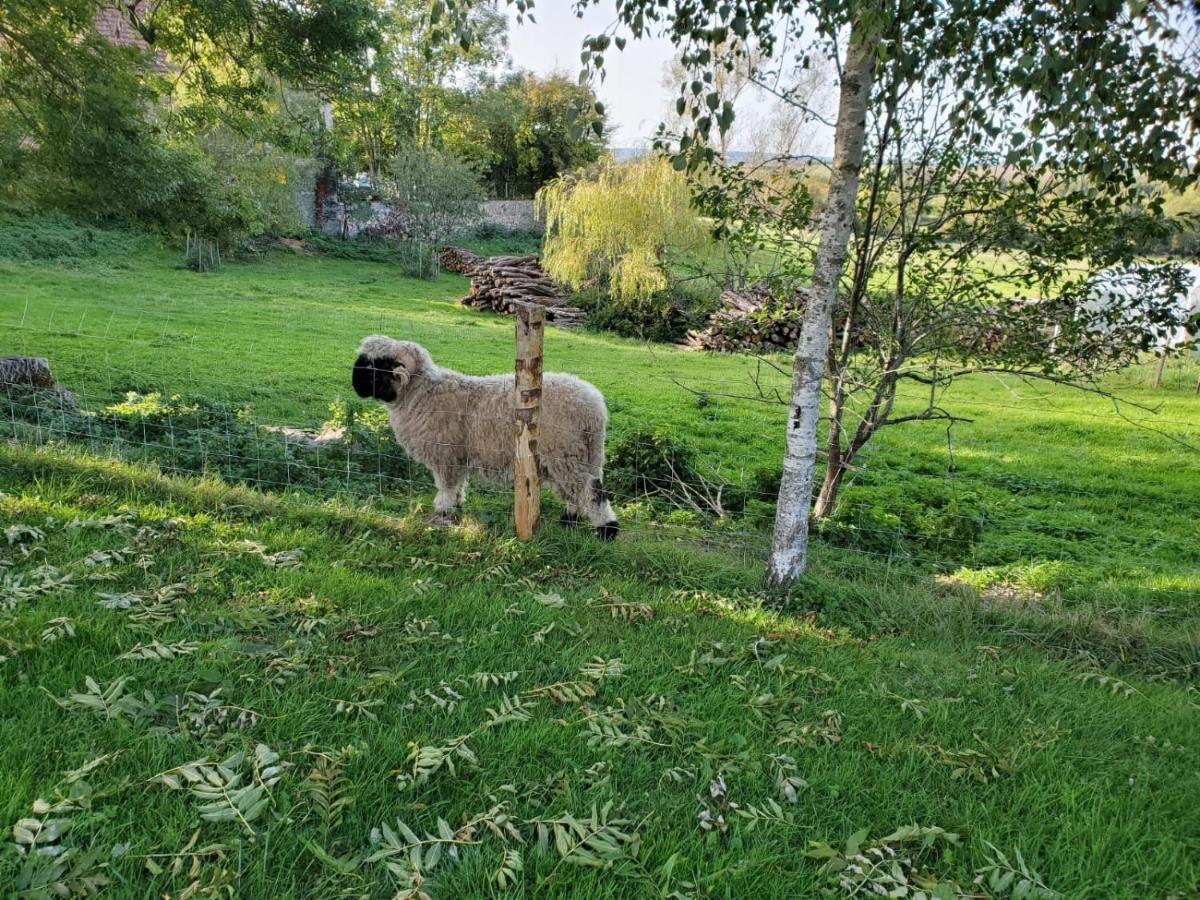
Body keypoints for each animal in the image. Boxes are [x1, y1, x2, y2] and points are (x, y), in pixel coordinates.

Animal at [350, 336, 619, 540]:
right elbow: (457, 486)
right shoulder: (458, 456)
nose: (354, 384)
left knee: (591, 490)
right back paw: (570, 520)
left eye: (375, 365)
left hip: (565, 452)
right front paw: (457, 506)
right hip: (579, 454)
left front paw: (443, 512)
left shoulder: (446, 455)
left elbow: (446, 487)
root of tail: (594, 405)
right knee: (577, 490)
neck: (422, 394)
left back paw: (607, 530)